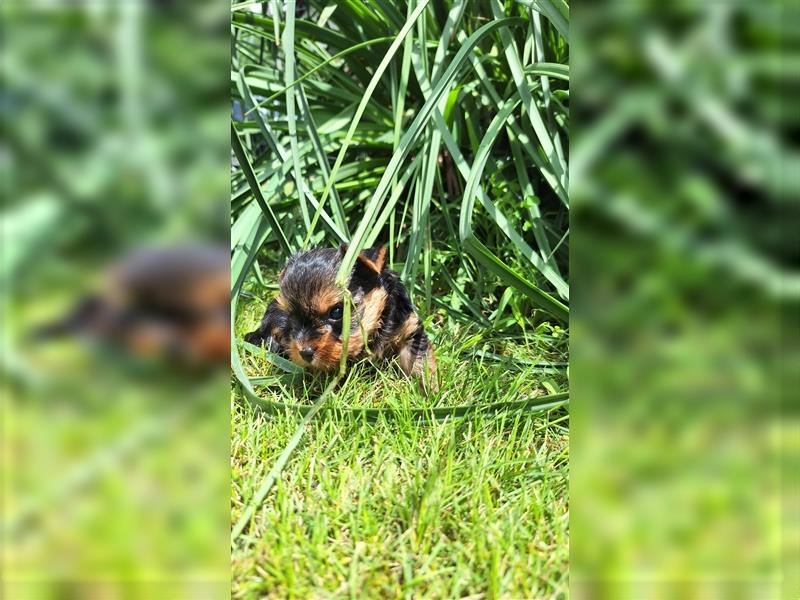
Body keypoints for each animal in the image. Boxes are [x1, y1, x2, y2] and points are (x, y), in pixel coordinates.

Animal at [247, 245, 440, 392]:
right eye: (291, 317)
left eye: (337, 312)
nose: (305, 353)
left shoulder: (409, 329)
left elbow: (418, 360)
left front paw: (427, 393)